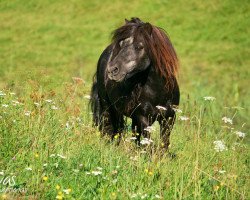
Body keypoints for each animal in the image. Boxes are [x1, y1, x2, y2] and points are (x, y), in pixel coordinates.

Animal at [90, 17, 180, 150]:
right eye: (121, 45)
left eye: (139, 46)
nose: (112, 70)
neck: (159, 91)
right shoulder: (144, 119)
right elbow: (148, 143)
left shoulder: (169, 118)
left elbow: (164, 143)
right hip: (108, 107)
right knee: (110, 128)